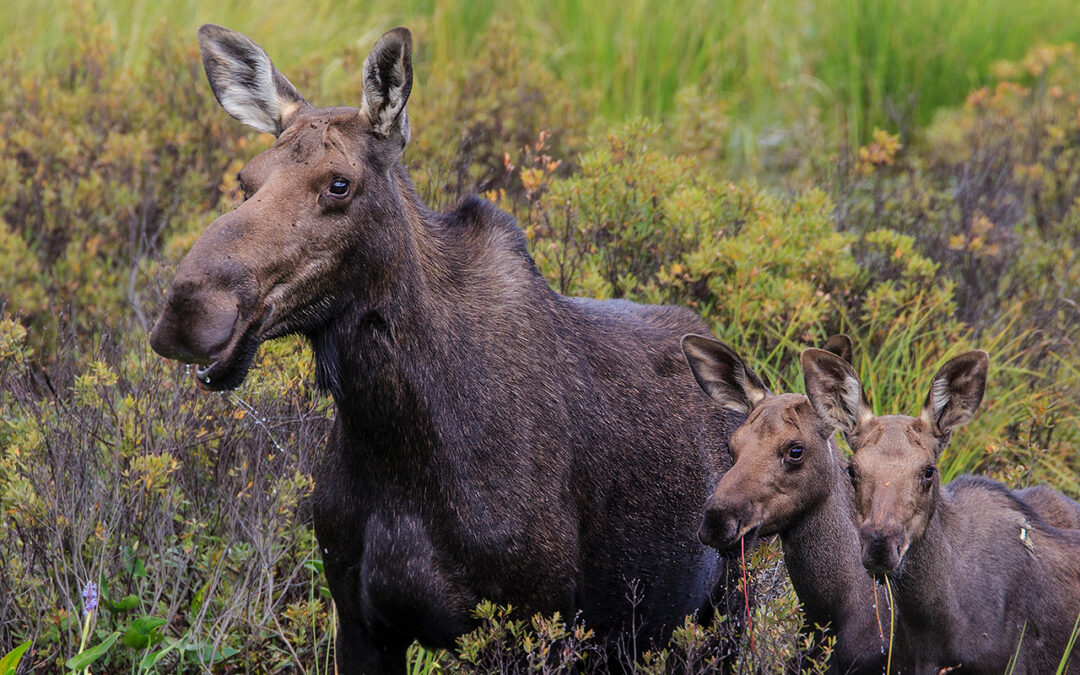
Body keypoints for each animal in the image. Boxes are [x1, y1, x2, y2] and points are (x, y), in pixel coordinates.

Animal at [150, 24, 743, 669]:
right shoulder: (360, 622)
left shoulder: (525, 627)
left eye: (339, 184)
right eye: (245, 181)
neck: (394, 434)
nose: (188, 310)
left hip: (723, 613)